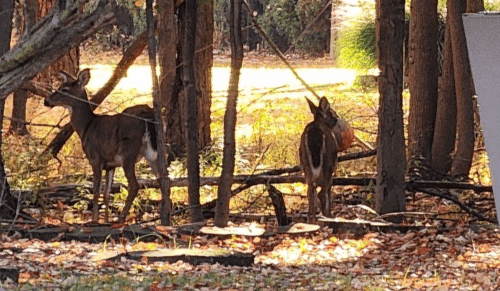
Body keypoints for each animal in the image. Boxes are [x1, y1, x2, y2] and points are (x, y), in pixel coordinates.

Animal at [44, 69, 160, 224]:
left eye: (64, 89)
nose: (46, 101)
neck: (86, 126)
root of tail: (148, 113)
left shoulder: (95, 158)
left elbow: (96, 192)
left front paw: (94, 221)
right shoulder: (110, 164)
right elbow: (106, 194)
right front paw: (105, 220)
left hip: (128, 151)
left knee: (135, 185)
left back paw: (121, 218)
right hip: (150, 152)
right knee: (162, 178)